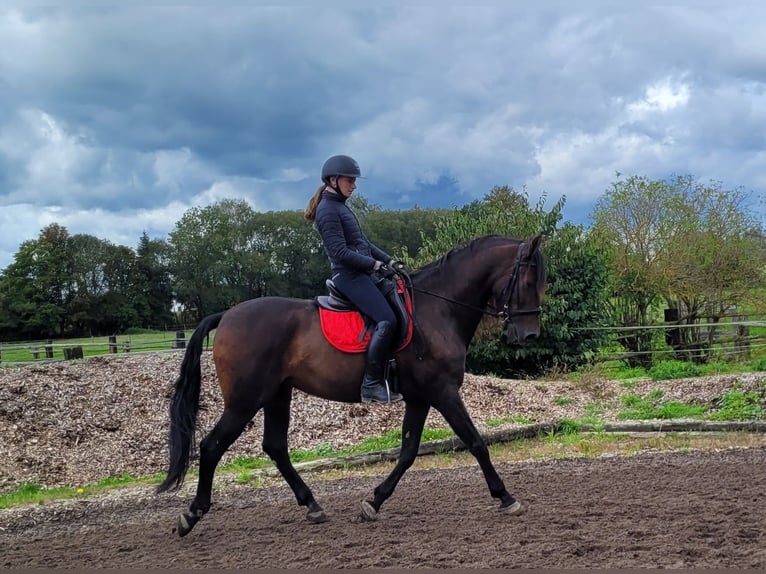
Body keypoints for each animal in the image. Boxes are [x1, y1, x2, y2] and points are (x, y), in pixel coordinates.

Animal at [159, 232, 548, 536]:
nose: (528, 335)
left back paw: (312, 505)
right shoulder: (444, 392)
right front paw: (506, 497)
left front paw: (373, 502)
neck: (437, 311)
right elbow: (476, 442)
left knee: (275, 446)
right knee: (211, 447)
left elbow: (408, 452)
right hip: (245, 401)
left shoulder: (421, 397)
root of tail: (227, 315)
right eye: (529, 282)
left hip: (277, 394)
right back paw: (191, 515)